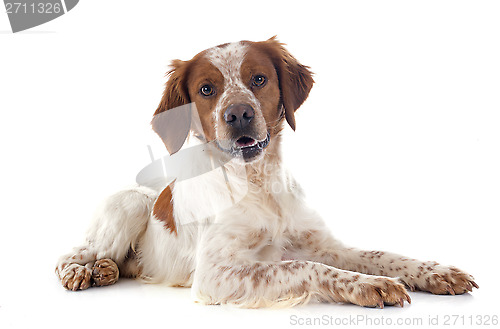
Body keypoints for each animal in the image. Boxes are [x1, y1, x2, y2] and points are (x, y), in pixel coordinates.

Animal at [54, 38, 476, 308]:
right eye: (206, 89)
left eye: (259, 79)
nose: (239, 114)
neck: (259, 184)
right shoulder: (215, 273)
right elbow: (303, 266)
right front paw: (370, 285)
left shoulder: (322, 244)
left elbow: (380, 253)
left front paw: (435, 271)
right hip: (130, 203)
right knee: (72, 252)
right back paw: (81, 271)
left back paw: (106, 271)